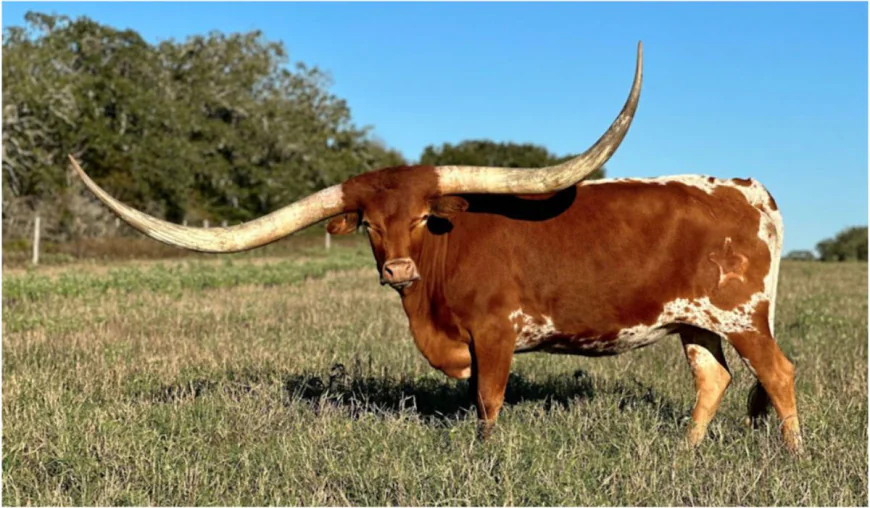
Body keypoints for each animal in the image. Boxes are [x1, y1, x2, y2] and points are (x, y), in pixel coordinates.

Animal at [69, 42, 802, 453]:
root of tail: (751, 189)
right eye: (368, 224)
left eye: (425, 217)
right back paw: (686, 451)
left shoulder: (497, 333)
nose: (396, 267)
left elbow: (488, 401)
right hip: (695, 321)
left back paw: (793, 457)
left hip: (744, 315)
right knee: (713, 378)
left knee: (778, 373)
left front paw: (483, 457)